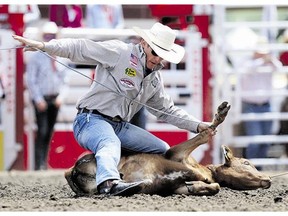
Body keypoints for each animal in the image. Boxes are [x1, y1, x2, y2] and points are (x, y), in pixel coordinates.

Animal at [64, 101, 272, 196]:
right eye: (246, 162)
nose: (268, 179)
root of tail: (72, 170)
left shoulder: (177, 187)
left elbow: (214, 187)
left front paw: (196, 185)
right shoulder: (176, 153)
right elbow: (204, 135)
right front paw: (220, 114)